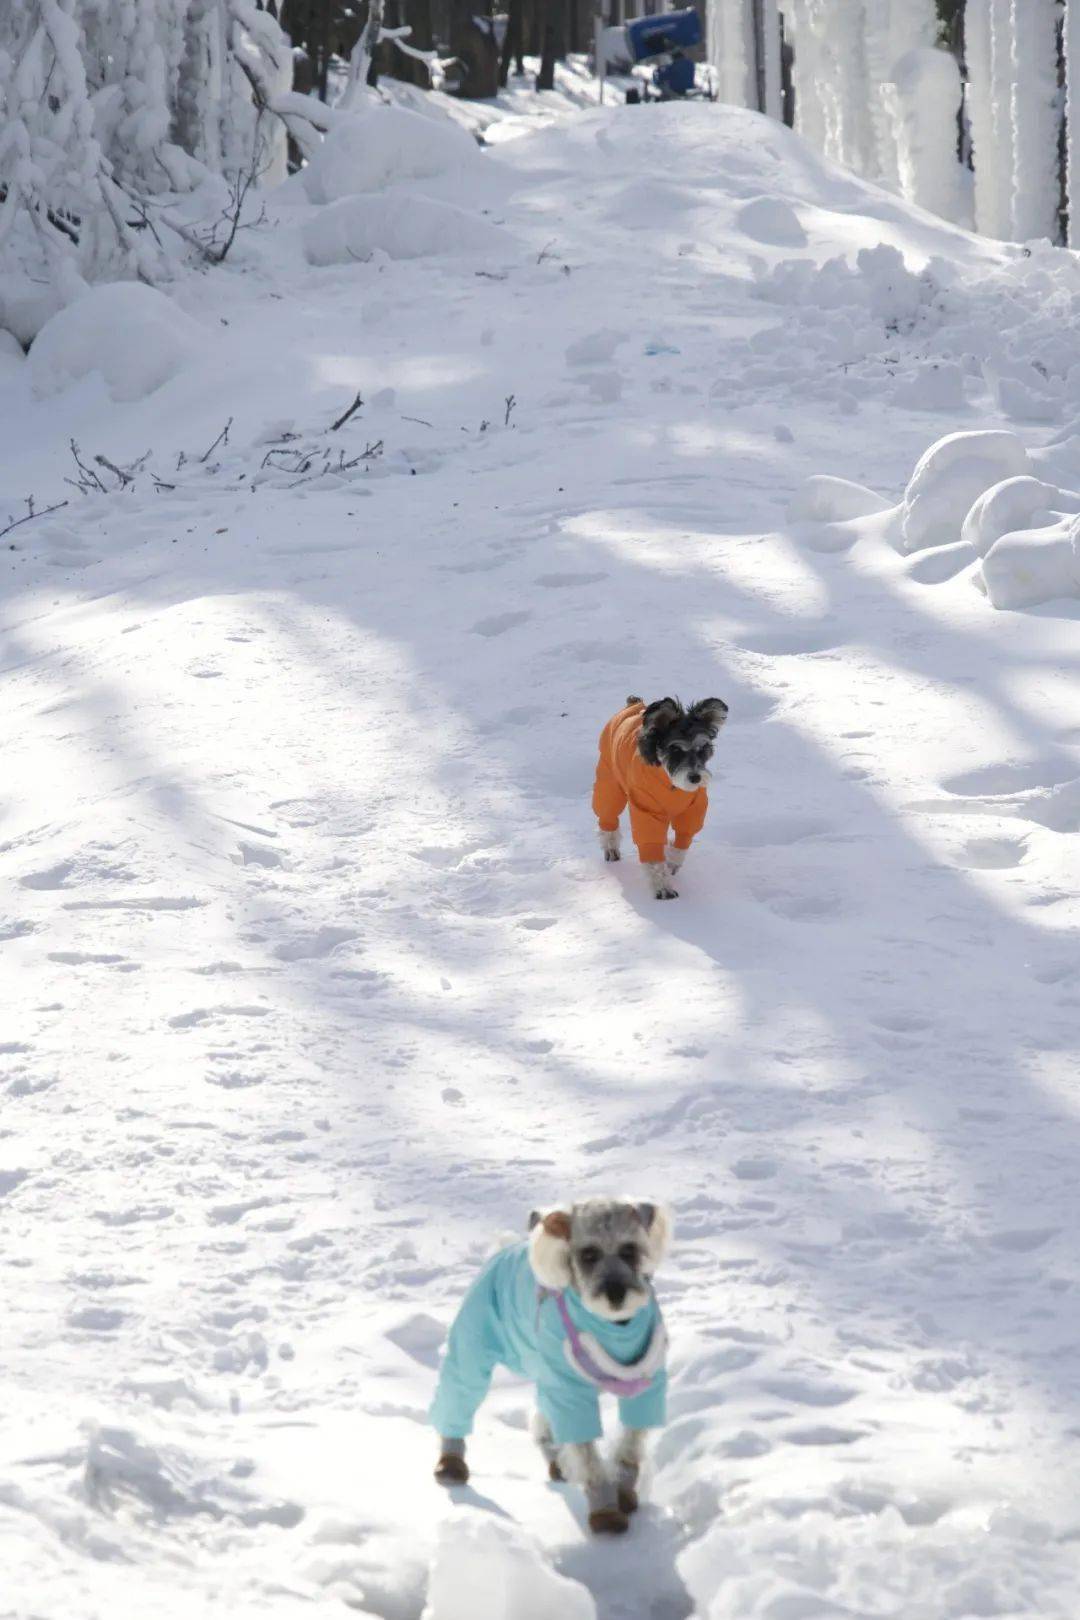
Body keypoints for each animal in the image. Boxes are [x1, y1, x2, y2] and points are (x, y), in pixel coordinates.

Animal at [427, 1205, 667, 1529]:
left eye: (629, 1249)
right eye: (588, 1254)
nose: (616, 1293)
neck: (614, 1327)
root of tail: (506, 1248)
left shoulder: (648, 1389)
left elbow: (631, 1444)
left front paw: (624, 1491)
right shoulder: (570, 1394)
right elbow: (587, 1454)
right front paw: (605, 1511)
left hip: (545, 1375)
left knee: (542, 1420)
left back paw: (556, 1460)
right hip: (472, 1347)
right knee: (459, 1396)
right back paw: (451, 1463)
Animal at [595, 693, 731, 907]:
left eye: (702, 749)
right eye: (675, 750)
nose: (695, 778)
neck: (671, 784)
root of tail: (633, 703)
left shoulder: (692, 811)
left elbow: (682, 841)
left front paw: (672, 862)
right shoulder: (646, 812)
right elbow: (652, 856)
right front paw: (662, 888)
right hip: (609, 781)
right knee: (607, 817)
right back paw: (611, 848)